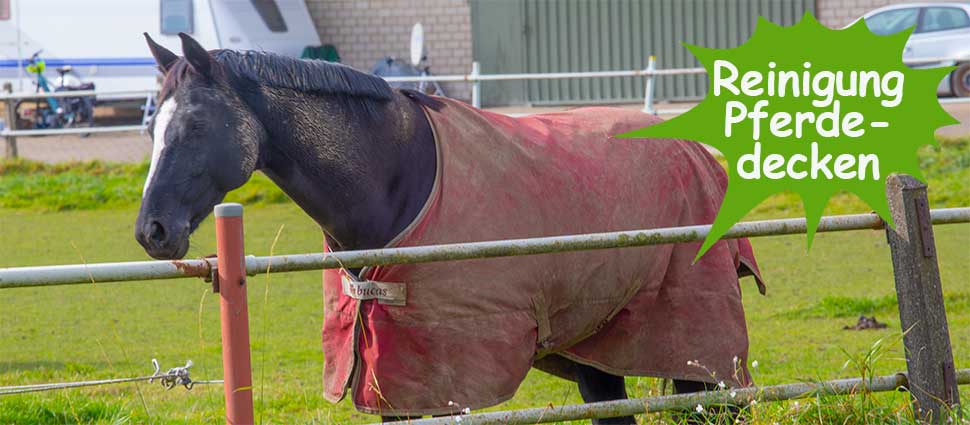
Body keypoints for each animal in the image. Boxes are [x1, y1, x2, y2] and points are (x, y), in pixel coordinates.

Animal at [136, 32, 760, 420]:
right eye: (152, 127)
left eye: (196, 124)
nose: (151, 231)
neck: (396, 178)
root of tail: (695, 149)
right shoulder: (391, 383)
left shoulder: (440, 377)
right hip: (600, 348)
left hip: (698, 351)